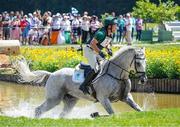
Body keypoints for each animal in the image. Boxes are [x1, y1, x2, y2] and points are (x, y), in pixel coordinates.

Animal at [13, 46, 146, 118]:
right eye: (138, 63)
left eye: (145, 61)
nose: (144, 80)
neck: (117, 74)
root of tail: (52, 74)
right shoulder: (103, 98)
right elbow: (112, 114)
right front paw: (95, 115)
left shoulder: (126, 97)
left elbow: (139, 109)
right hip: (54, 99)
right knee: (39, 110)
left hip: (70, 100)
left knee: (62, 114)